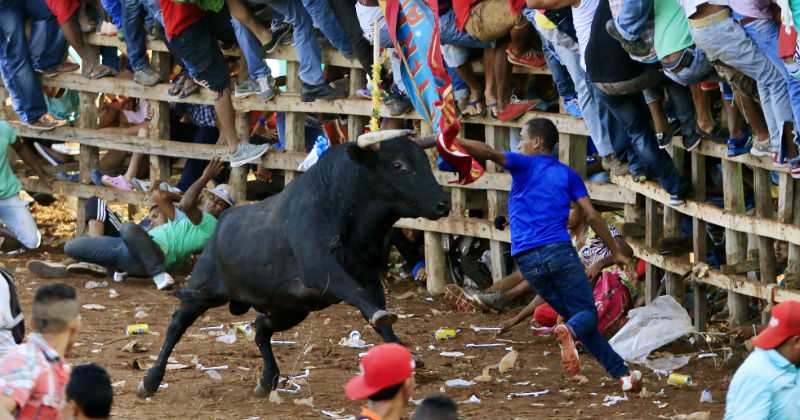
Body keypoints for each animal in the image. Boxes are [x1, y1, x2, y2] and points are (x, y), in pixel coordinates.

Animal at [138, 129, 450, 398]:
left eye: (424, 161)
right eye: (398, 164)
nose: (443, 204)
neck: (343, 205)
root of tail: (221, 225)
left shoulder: (369, 277)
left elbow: (377, 314)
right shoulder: (321, 270)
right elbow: (359, 296)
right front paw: (383, 321)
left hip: (291, 308)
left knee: (261, 327)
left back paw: (268, 379)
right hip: (203, 290)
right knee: (177, 324)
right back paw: (150, 380)